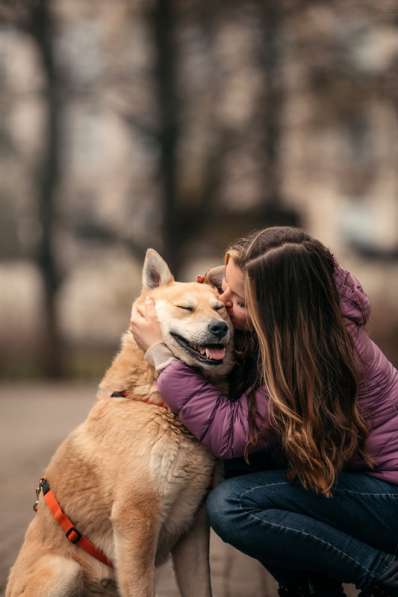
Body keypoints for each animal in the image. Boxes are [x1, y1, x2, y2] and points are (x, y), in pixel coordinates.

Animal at [6, 250, 233, 596]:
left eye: (220, 308)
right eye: (186, 308)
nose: (220, 328)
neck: (154, 401)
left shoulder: (193, 525)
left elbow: (200, 587)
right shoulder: (135, 519)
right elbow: (141, 587)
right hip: (64, 569)